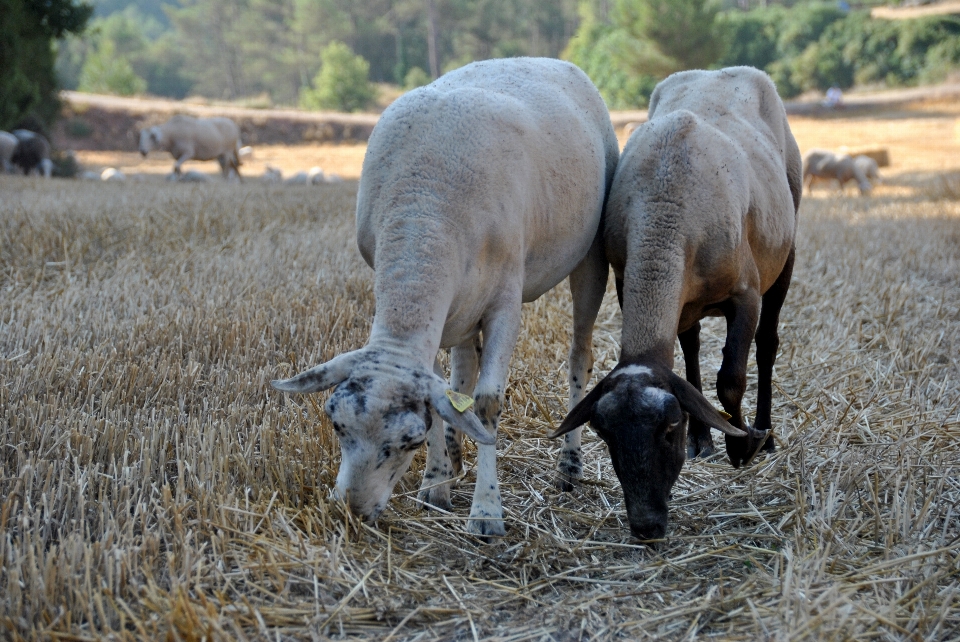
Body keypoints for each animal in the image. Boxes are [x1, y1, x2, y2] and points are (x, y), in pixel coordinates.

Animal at [270, 56, 620, 536]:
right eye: (336, 425)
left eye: (408, 441)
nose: (354, 512)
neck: (424, 213)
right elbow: (444, 395)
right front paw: (436, 485)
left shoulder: (505, 302)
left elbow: (488, 404)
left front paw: (486, 512)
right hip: (463, 303)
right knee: (462, 371)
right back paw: (455, 458)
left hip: (590, 256)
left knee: (578, 357)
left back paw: (569, 464)